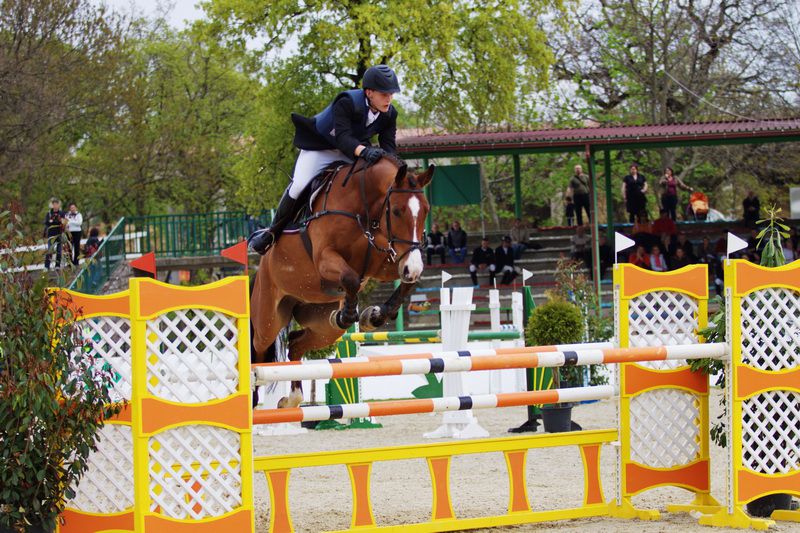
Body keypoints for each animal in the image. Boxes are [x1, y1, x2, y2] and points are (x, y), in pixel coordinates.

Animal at [252, 156, 434, 406]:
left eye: (426, 210)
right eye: (397, 211)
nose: (412, 268)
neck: (364, 209)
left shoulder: (385, 261)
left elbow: (407, 283)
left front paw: (374, 316)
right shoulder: (324, 259)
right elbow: (350, 278)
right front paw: (347, 314)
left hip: (323, 329)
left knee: (296, 344)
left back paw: (291, 400)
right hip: (268, 320)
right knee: (257, 351)